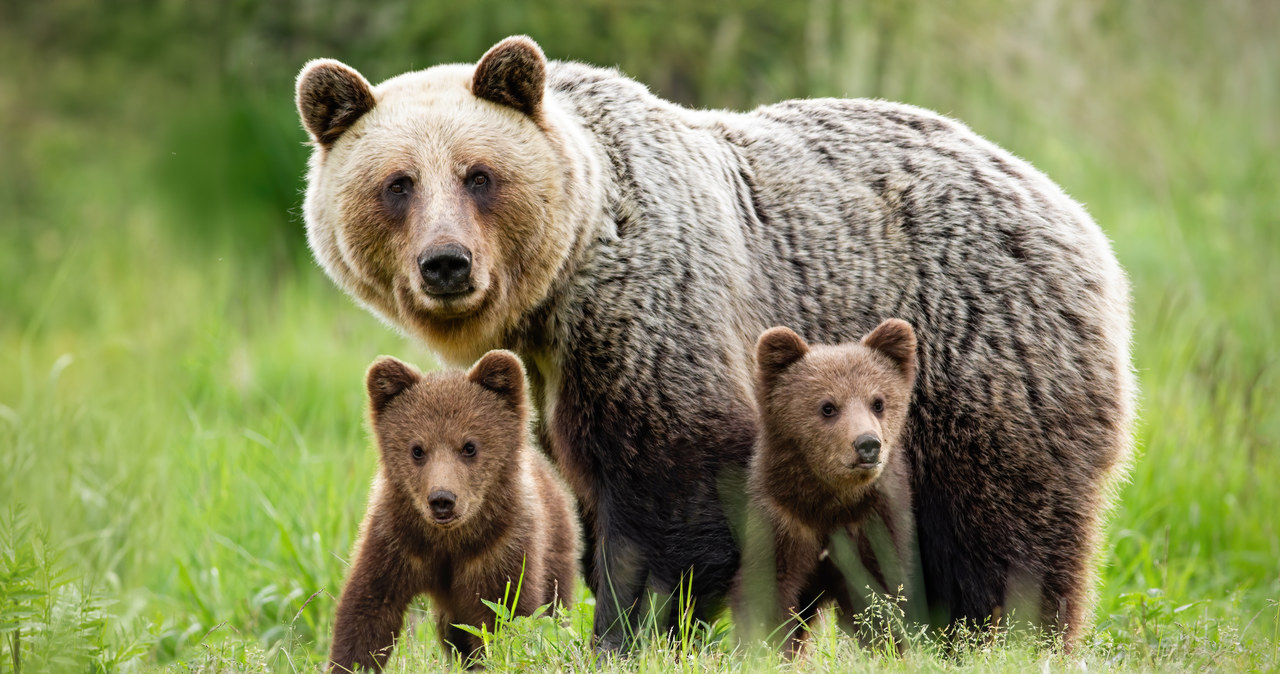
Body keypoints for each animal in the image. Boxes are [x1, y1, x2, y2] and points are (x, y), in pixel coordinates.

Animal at [294, 35, 1136, 649]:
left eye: (479, 175)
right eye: (397, 183)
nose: (447, 263)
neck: (555, 298)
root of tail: (1068, 208)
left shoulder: (653, 320)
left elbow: (670, 496)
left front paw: (628, 633)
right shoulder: (555, 384)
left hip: (983, 364)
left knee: (1004, 536)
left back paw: (1004, 636)